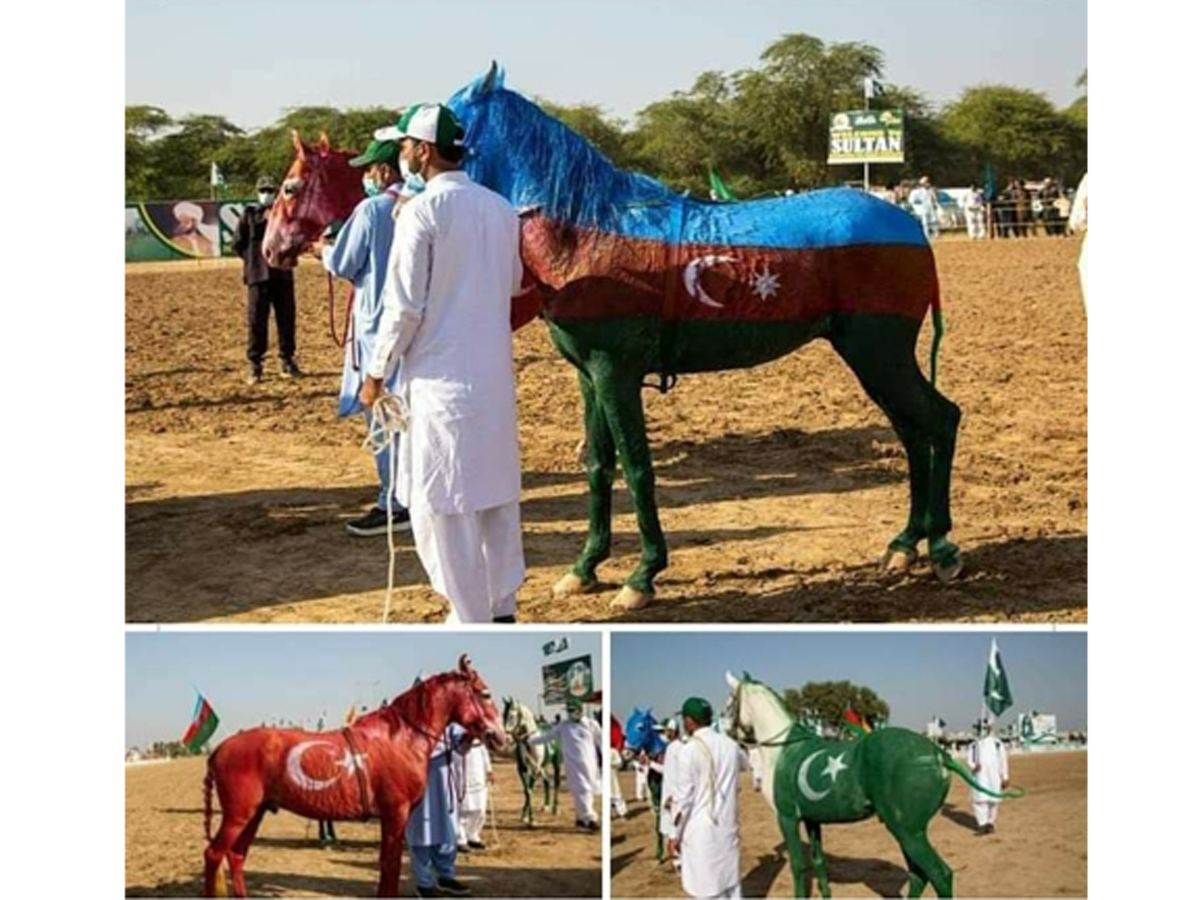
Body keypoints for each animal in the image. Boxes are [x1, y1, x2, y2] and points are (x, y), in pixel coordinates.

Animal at [200, 657, 506, 897]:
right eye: (485, 694)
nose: (500, 736)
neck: (401, 738)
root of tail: (219, 749)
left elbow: (388, 863)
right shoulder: (396, 813)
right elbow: (391, 864)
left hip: (255, 813)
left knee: (236, 856)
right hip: (238, 815)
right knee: (214, 855)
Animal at [451, 65, 964, 614]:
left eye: (447, 117)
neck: (590, 233)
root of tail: (911, 226)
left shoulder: (617, 373)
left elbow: (637, 466)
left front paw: (643, 574)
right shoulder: (590, 376)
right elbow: (598, 465)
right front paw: (585, 569)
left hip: (880, 353)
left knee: (939, 420)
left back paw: (941, 546)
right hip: (874, 359)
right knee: (913, 432)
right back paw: (906, 545)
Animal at [499, 696, 559, 830]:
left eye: (511, 716)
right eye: (503, 715)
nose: (506, 738)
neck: (530, 742)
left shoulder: (534, 770)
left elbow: (530, 790)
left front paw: (531, 820)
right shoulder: (522, 769)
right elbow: (527, 791)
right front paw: (524, 816)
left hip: (555, 763)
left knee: (556, 783)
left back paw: (555, 809)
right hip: (543, 767)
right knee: (547, 781)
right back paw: (546, 806)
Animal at [720, 672, 1022, 897]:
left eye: (728, 703)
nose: (724, 730)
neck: (784, 750)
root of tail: (938, 754)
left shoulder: (787, 818)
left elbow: (798, 866)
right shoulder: (812, 820)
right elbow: (819, 861)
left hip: (907, 830)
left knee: (939, 874)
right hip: (908, 830)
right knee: (918, 875)